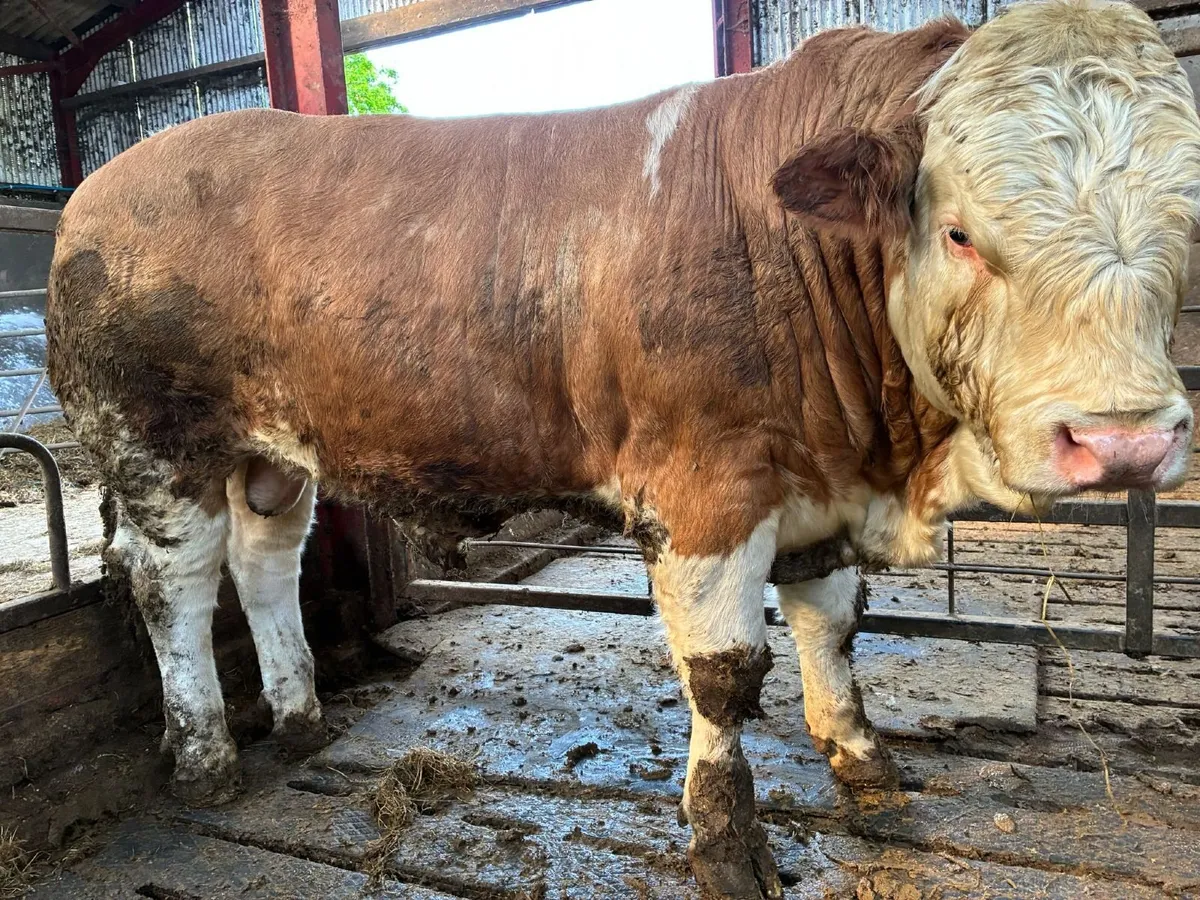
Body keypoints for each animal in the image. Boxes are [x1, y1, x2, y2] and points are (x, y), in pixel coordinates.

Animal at [45, 0, 1200, 895]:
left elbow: (833, 629)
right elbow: (727, 676)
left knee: (264, 564)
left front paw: (864, 763)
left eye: (1186, 229)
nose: (1124, 442)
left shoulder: (815, 484)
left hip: (275, 459)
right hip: (154, 445)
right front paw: (728, 845)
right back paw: (205, 754)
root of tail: (103, 183)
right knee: (175, 586)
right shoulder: (706, 492)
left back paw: (299, 714)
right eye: (960, 231)